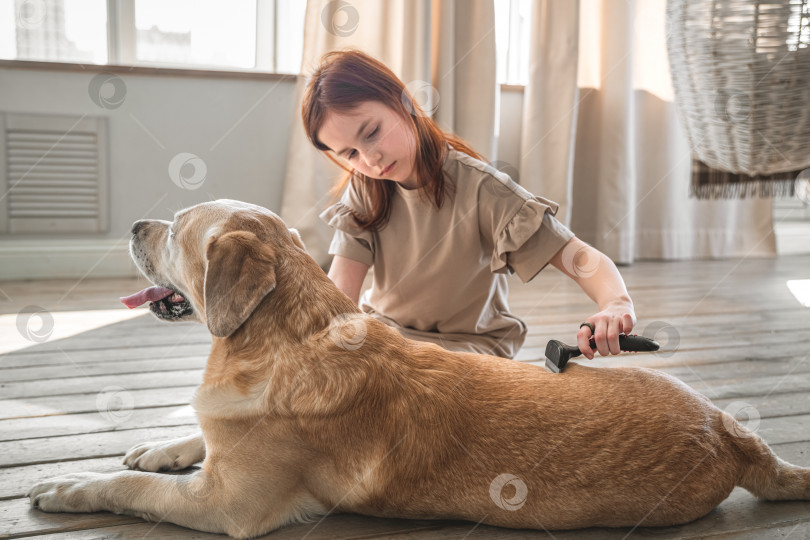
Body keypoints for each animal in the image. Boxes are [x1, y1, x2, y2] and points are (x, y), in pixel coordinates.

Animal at [26, 200, 808, 536]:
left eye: (176, 228)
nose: (134, 225)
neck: (286, 335)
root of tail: (732, 431)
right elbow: (180, 441)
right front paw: (162, 444)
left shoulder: (228, 505)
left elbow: (129, 488)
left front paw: (70, 485)